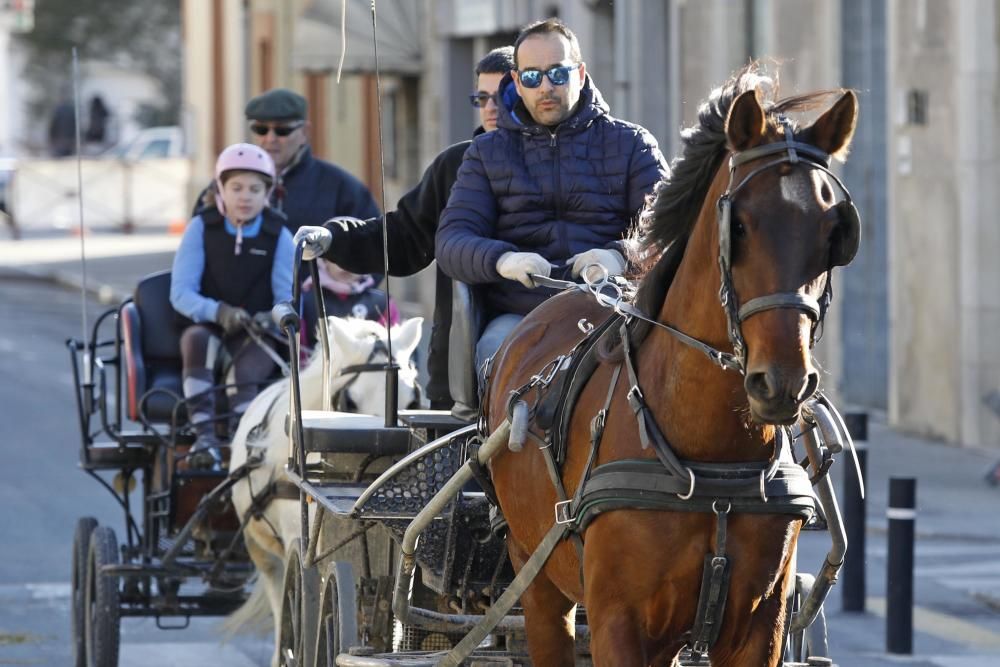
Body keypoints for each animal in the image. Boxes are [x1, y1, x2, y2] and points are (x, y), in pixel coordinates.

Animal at [484, 64, 860, 667]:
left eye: (834, 233)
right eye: (739, 226)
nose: (782, 382)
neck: (711, 457)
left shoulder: (763, 626)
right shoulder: (618, 623)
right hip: (535, 577)